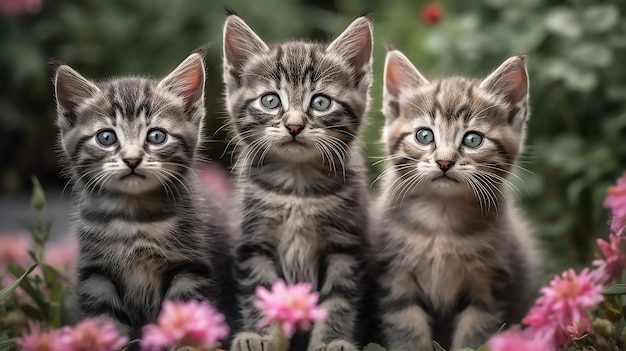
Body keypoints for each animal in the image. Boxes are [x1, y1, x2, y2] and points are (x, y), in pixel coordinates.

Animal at [54, 53, 239, 346]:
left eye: (156, 136)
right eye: (106, 137)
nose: (132, 159)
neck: (134, 218)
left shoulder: (191, 268)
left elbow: (183, 314)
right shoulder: (97, 275)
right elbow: (106, 323)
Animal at [223, 12, 372, 351]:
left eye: (320, 102)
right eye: (270, 101)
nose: (293, 125)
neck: (297, 187)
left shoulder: (345, 245)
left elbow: (338, 299)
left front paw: (332, 341)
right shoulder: (254, 241)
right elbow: (261, 292)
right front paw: (260, 336)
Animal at [372, 48, 540, 350]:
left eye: (473, 139)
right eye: (424, 135)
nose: (444, 162)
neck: (442, 220)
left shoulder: (489, 289)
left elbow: (474, 338)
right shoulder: (395, 282)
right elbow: (408, 336)